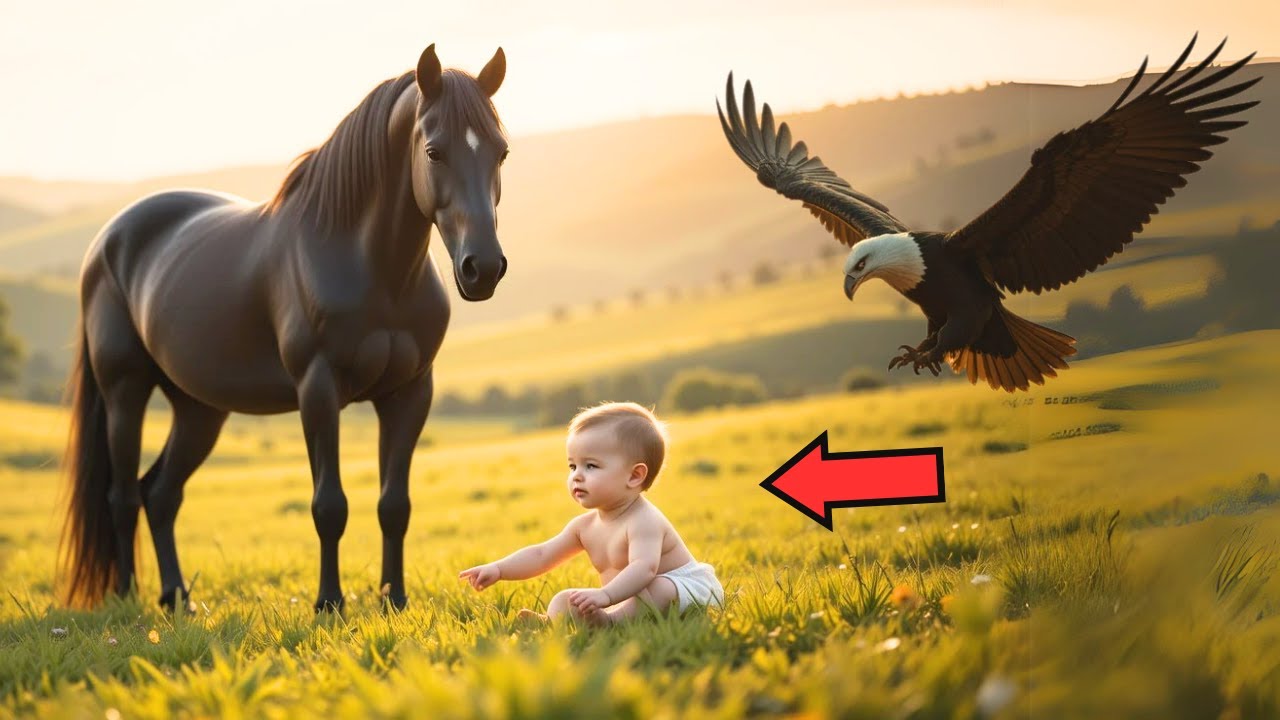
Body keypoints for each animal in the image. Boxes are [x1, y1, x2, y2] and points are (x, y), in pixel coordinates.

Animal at [60, 44, 510, 613]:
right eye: (433, 152)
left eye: (501, 151)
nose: (483, 268)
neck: (373, 269)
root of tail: (108, 239)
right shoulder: (318, 389)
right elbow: (329, 505)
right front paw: (329, 603)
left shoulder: (410, 394)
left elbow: (394, 505)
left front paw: (394, 599)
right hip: (125, 392)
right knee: (121, 496)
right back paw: (125, 598)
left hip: (199, 409)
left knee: (159, 494)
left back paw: (177, 597)